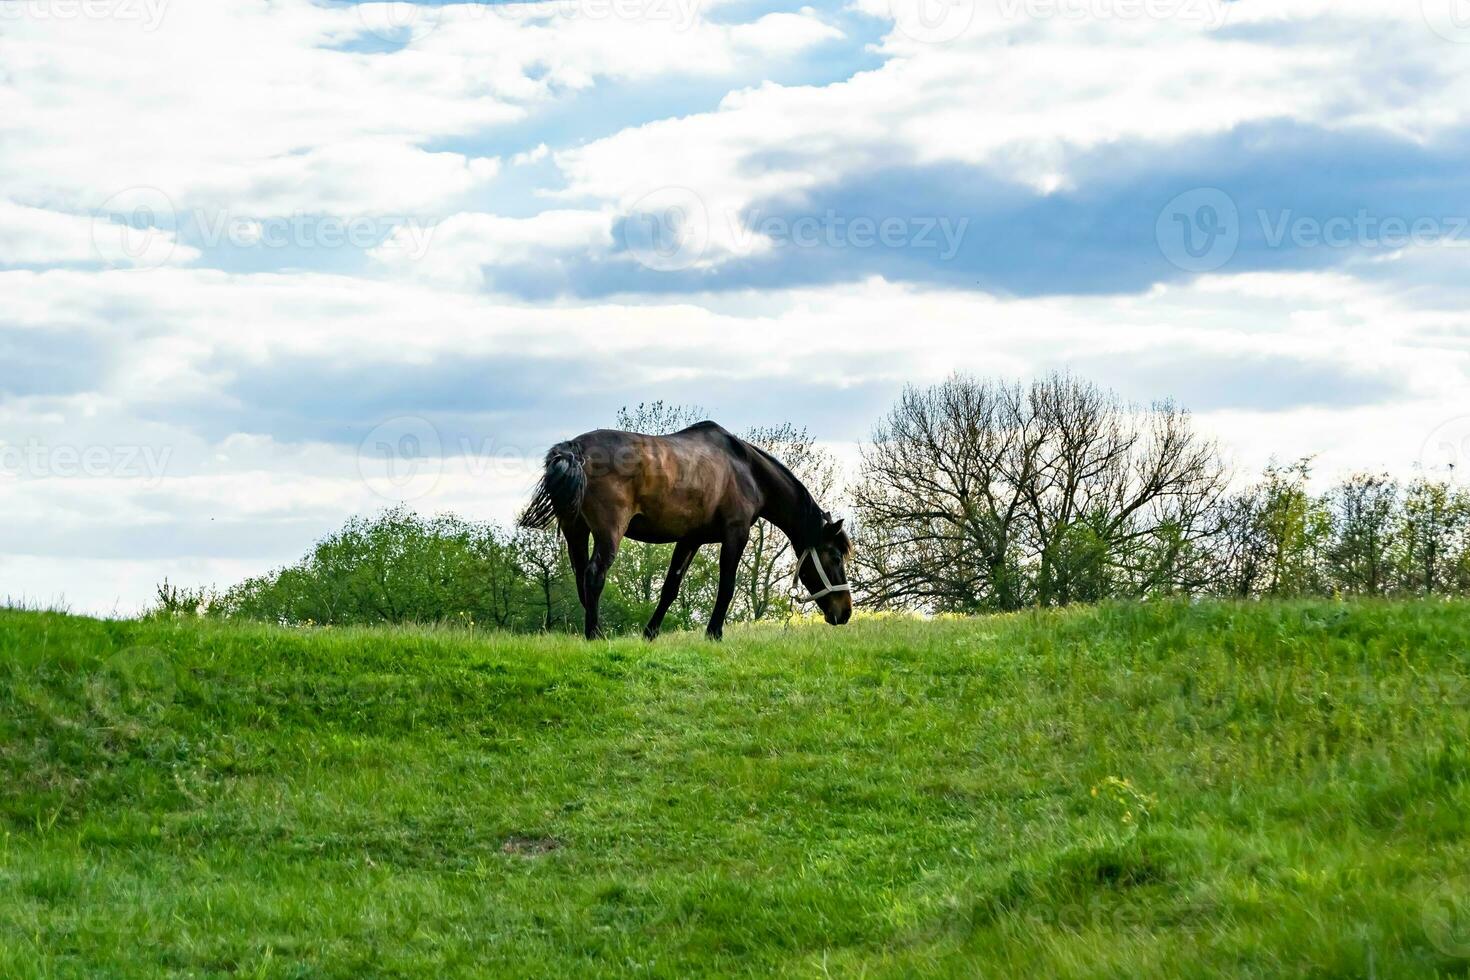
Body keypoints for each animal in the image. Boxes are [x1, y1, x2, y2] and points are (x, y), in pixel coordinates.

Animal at [523, 423, 858, 643]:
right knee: (594, 575)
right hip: (608, 533)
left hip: (575, 531)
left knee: (582, 576)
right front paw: (714, 633)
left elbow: (670, 588)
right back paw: (596, 635)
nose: (845, 613)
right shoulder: (735, 535)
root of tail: (575, 449)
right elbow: (727, 586)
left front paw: (650, 634)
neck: (746, 469)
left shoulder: (690, 539)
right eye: (834, 556)